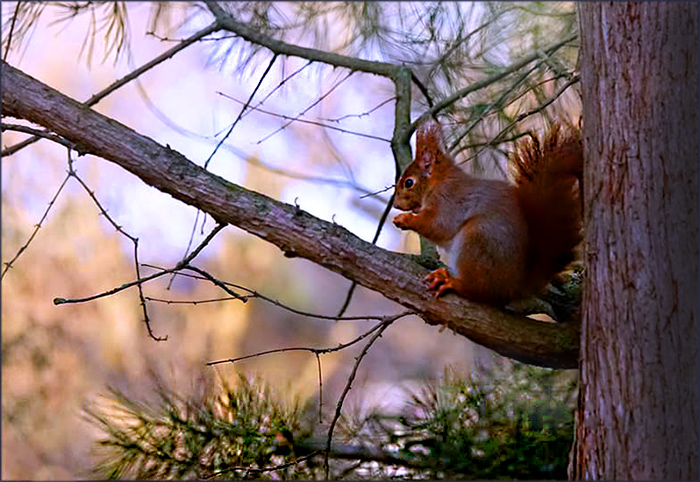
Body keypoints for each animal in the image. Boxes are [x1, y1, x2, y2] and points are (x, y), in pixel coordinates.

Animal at [393, 119, 583, 305]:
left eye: (408, 182)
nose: (395, 204)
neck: (438, 182)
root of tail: (515, 287)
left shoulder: (448, 199)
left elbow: (439, 225)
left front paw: (406, 219)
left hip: (477, 239)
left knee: (479, 290)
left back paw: (452, 281)